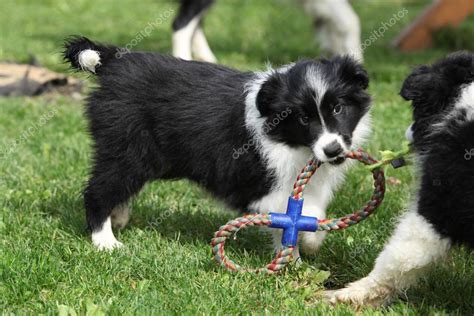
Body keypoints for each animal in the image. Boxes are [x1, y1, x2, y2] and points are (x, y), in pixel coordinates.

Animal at [63, 36, 372, 252]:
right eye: (304, 118)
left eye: (338, 109)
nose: (333, 150)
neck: (292, 143)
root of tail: (112, 61)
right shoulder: (254, 184)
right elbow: (294, 217)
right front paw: (309, 243)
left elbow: (302, 216)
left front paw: (296, 257)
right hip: (127, 146)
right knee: (99, 190)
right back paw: (105, 241)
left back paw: (119, 217)